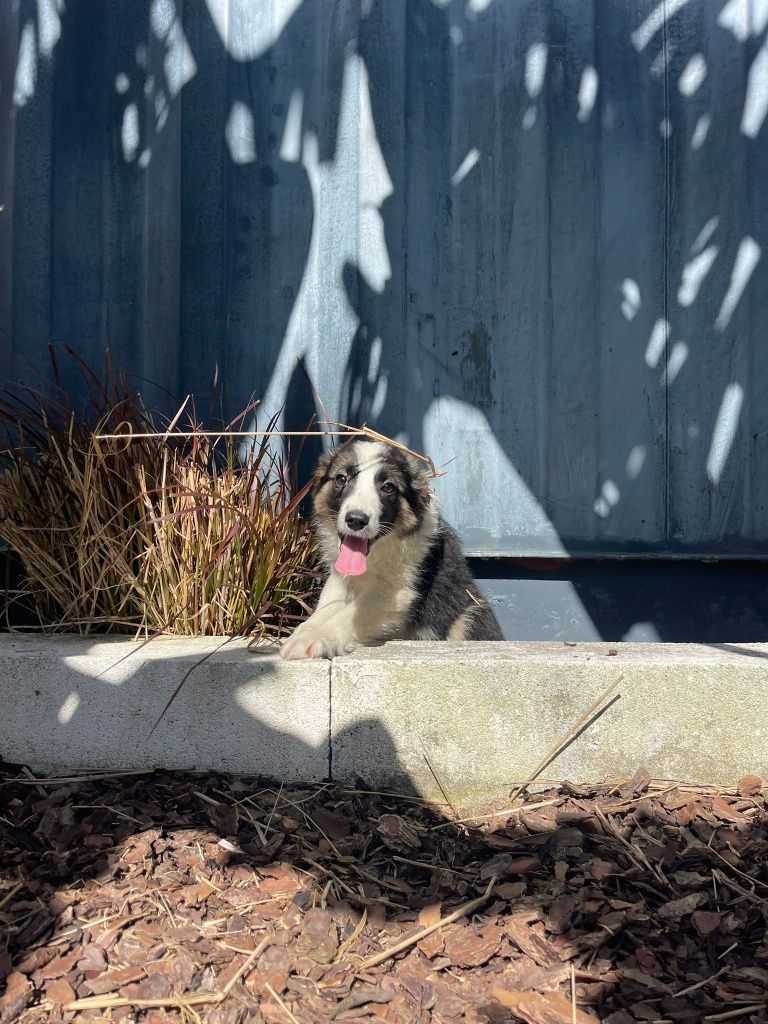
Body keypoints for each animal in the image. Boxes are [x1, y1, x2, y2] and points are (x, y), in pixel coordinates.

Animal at [280, 434, 501, 659]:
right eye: (341, 479)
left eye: (388, 487)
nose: (356, 520)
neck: (375, 555)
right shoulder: (340, 579)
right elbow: (325, 607)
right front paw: (305, 631)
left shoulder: (397, 591)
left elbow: (350, 613)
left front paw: (313, 638)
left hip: (468, 616)